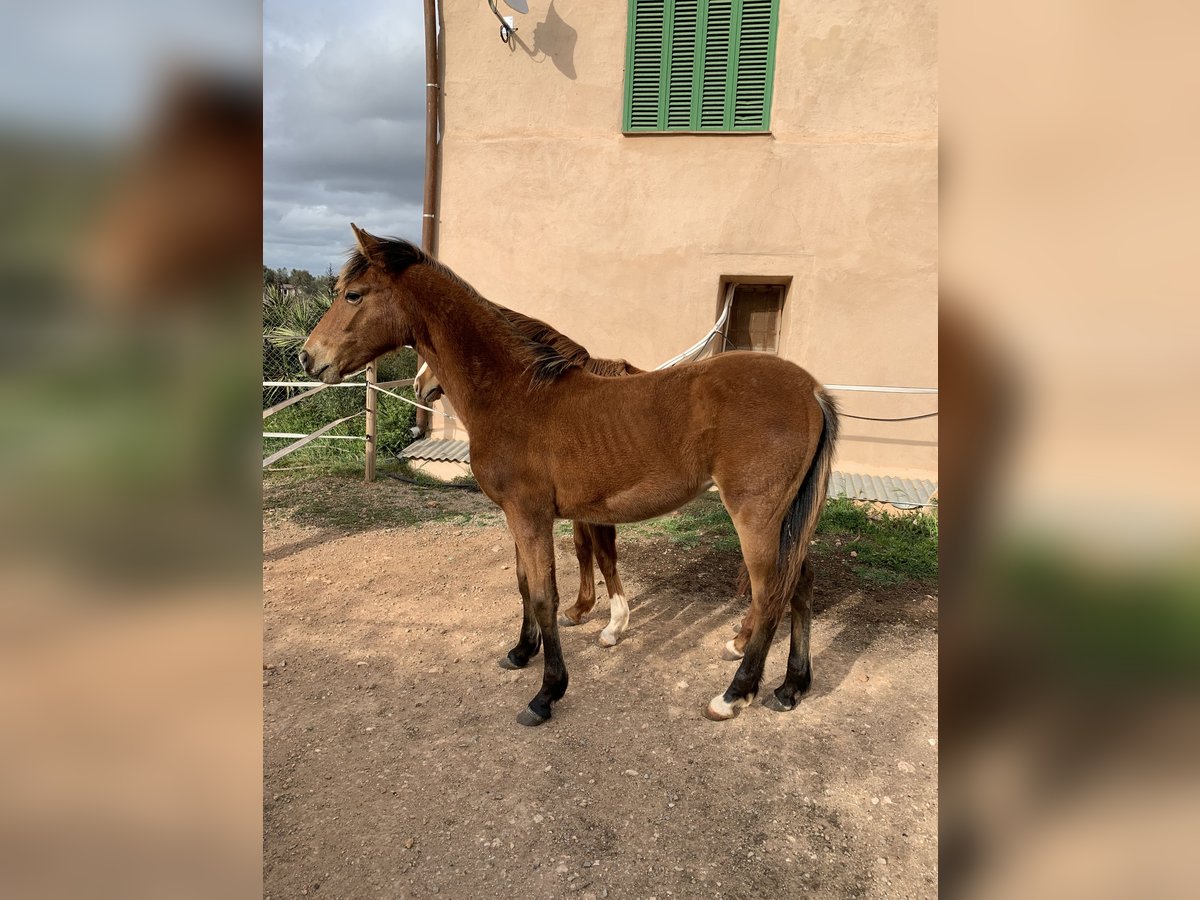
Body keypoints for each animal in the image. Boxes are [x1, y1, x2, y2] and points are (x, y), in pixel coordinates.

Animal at [304, 225, 840, 724]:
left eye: (353, 294)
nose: (309, 357)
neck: (515, 393)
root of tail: (812, 390)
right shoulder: (518, 515)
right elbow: (526, 583)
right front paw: (521, 652)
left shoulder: (530, 514)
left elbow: (545, 595)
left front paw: (547, 693)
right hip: (785, 518)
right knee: (801, 584)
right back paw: (790, 688)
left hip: (756, 516)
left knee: (771, 593)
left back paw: (734, 695)